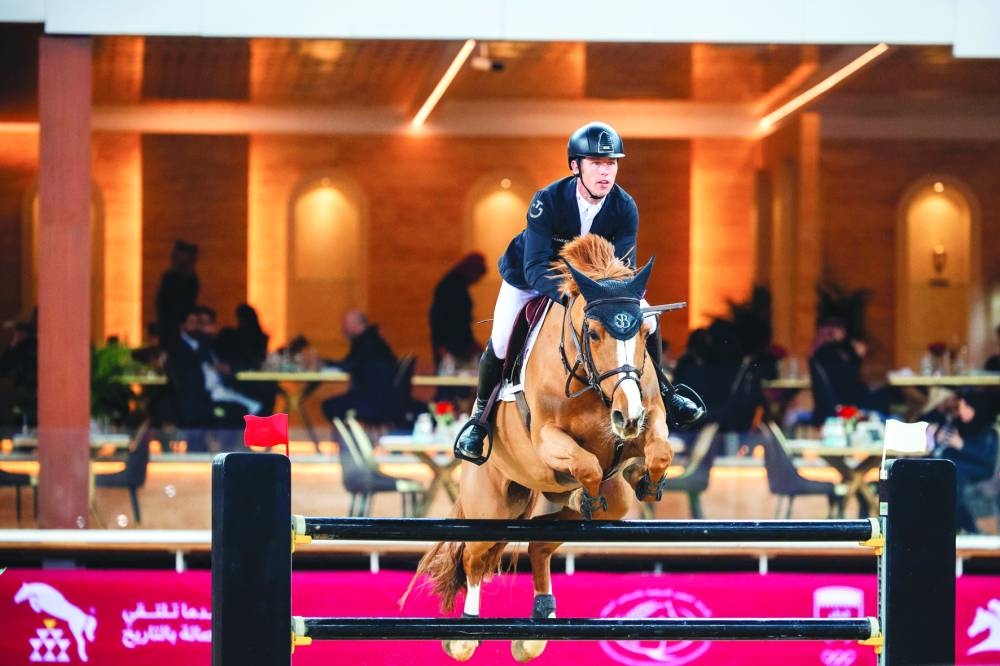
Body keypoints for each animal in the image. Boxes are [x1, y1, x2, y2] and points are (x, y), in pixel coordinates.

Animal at [407, 234, 676, 663]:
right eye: (594, 334)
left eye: (641, 334)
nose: (626, 416)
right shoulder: (549, 439)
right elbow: (586, 465)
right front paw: (588, 489)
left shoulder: (648, 418)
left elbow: (659, 450)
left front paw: (644, 479)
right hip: (492, 505)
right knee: (474, 557)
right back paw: (464, 636)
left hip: (592, 505)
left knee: (539, 540)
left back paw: (536, 625)